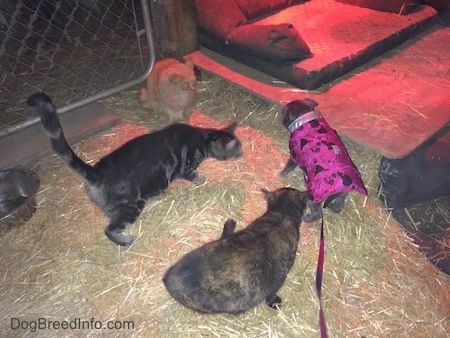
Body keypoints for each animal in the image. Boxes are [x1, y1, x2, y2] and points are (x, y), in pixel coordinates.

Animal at [27, 92, 243, 246]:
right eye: (238, 149)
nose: (242, 154)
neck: (203, 138)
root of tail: (96, 173)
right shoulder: (187, 168)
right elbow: (194, 176)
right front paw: (202, 180)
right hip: (130, 207)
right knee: (110, 229)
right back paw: (125, 241)